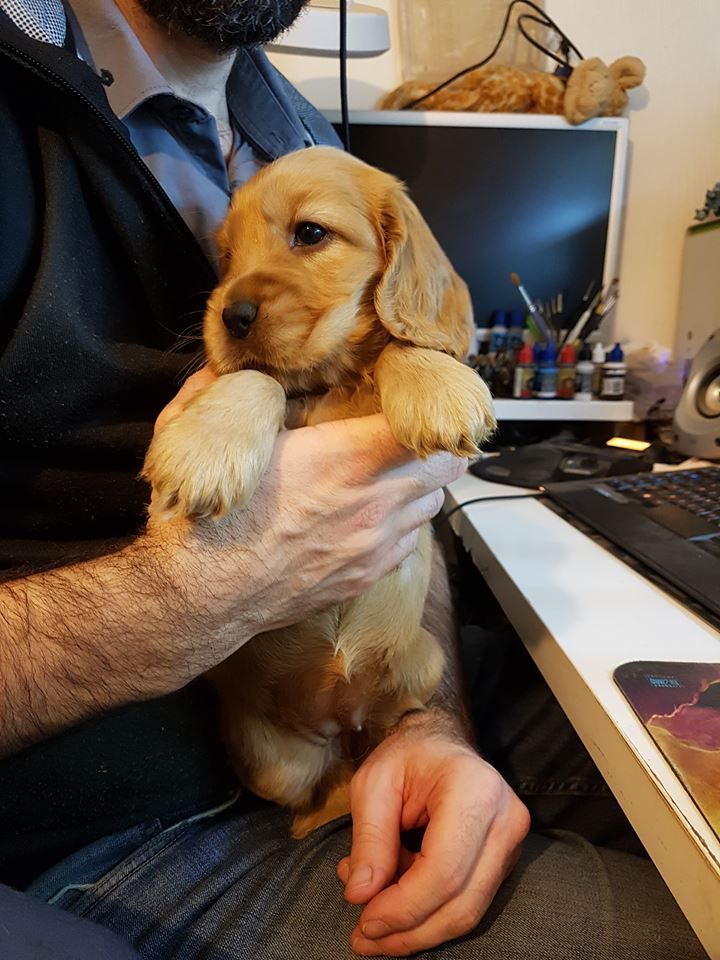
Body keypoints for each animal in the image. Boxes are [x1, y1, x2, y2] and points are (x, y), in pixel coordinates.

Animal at [143, 146, 495, 837]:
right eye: (227, 257)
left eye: (310, 233)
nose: (229, 316)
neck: (330, 382)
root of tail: (338, 717)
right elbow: (258, 378)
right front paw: (206, 443)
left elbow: (397, 347)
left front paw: (437, 381)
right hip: (278, 761)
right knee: (319, 788)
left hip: (421, 666)